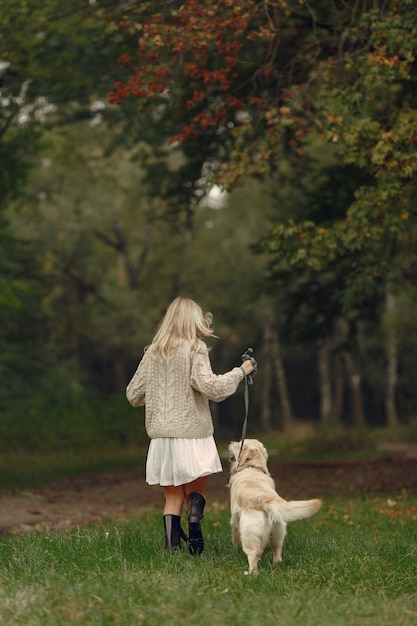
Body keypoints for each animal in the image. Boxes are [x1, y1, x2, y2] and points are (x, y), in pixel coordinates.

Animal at [228, 436, 322, 572]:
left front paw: (234, 551)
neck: (253, 467)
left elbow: (234, 538)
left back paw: (251, 573)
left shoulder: (234, 520)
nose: (231, 442)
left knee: (253, 555)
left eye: (239, 444)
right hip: (278, 533)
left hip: (248, 534)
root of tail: (269, 501)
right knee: (277, 554)